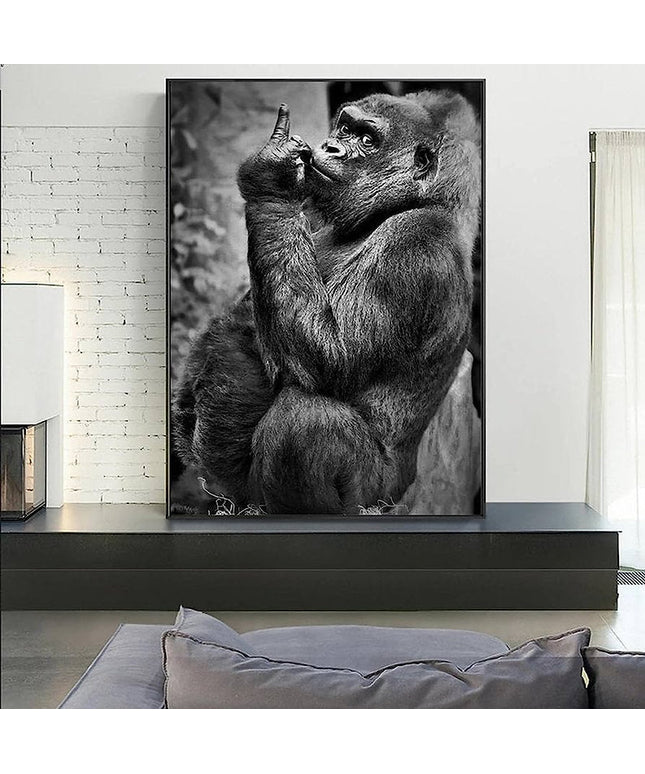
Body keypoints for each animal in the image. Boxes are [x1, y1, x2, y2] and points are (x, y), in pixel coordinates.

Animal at [172, 90, 481, 515]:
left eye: (367, 140)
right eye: (345, 129)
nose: (331, 147)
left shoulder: (416, 240)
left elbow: (329, 359)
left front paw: (273, 182)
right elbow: (243, 317)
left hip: (375, 498)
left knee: (307, 420)